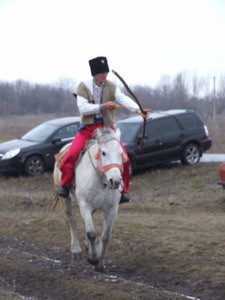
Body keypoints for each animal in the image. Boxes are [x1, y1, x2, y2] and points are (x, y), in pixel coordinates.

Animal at [52, 126, 126, 272]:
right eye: (103, 153)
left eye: (121, 153)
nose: (115, 181)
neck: (101, 180)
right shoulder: (85, 205)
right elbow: (91, 233)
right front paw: (93, 259)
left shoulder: (112, 209)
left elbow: (105, 237)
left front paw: (100, 262)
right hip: (66, 199)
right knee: (71, 219)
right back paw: (76, 250)